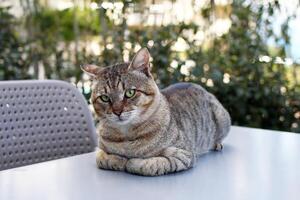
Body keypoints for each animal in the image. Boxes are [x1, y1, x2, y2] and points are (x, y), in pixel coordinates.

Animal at [81, 48, 231, 177]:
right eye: (104, 98)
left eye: (130, 93)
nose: (117, 111)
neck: (126, 137)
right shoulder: (99, 151)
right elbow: (103, 159)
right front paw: (118, 160)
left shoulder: (184, 154)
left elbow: (149, 164)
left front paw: (131, 162)